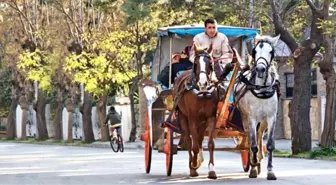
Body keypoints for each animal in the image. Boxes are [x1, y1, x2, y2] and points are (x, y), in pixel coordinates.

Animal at [173, 44, 220, 178]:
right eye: (195, 63)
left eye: (210, 63)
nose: (203, 83)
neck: (202, 93)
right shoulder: (192, 118)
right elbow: (194, 146)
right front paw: (193, 165)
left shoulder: (211, 117)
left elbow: (210, 144)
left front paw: (211, 169)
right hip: (183, 117)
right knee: (189, 141)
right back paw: (192, 165)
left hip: (202, 122)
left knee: (198, 139)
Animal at [235, 32, 280, 180]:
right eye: (254, 51)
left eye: (271, 51)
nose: (260, 69)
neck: (262, 89)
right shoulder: (251, 118)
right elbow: (253, 144)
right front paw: (253, 168)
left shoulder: (271, 118)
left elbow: (270, 145)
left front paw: (270, 171)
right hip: (245, 119)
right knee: (250, 139)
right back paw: (253, 162)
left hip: (263, 121)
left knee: (260, 135)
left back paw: (259, 159)